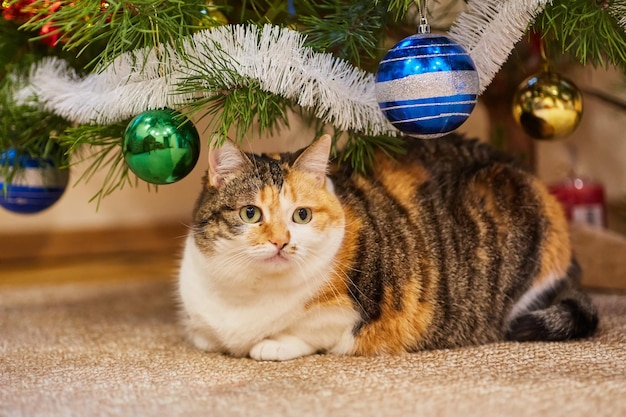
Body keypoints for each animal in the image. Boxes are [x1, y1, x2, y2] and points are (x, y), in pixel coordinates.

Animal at [176, 134, 596, 360]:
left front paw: (271, 345)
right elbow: (201, 336)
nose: (281, 242)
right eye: (251, 213)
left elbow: (309, 333)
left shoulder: (356, 311)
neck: (246, 293)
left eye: (301, 215)